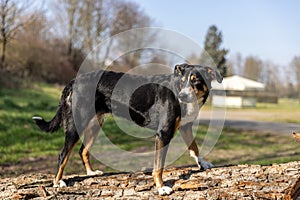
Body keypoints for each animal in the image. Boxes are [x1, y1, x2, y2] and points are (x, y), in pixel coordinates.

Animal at [32, 63, 223, 195]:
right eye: (182, 82)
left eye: (196, 81)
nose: (182, 95)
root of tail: (74, 81)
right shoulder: (163, 133)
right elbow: (159, 166)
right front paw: (161, 188)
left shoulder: (185, 127)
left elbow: (194, 147)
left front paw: (202, 162)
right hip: (76, 123)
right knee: (63, 155)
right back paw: (57, 182)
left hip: (95, 124)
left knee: (82, 150)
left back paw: (91, 172)